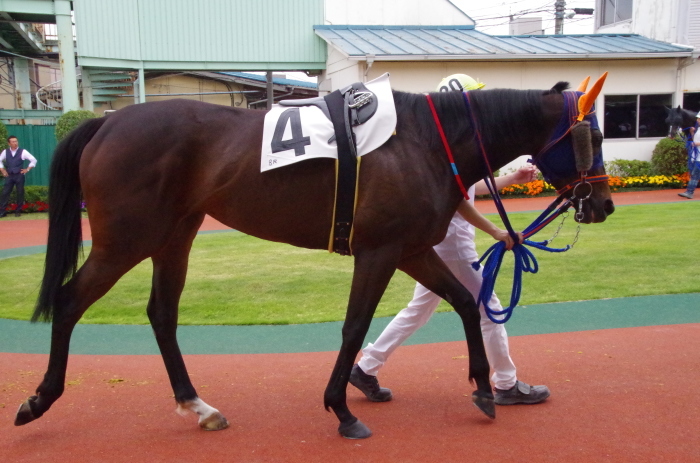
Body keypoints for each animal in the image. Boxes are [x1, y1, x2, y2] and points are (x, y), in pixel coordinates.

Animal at [15, 82, 612, 438]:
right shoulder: (379, 251)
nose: (603, 204)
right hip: (126, 240)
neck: (424, 141)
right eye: (595, 135)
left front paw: (486, 390)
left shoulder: (412, 249)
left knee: (161, 314)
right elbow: (354, 326)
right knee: (69, 300)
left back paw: (197, 405)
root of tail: (107, 122)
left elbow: (467, 301)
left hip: (174, 236)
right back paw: (40, 399)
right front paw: (342, 409)